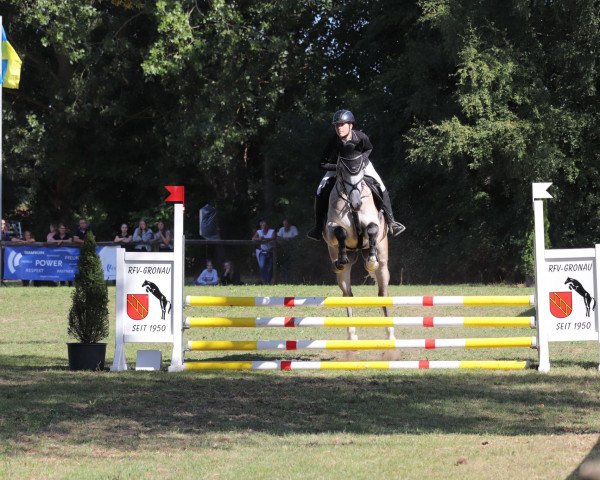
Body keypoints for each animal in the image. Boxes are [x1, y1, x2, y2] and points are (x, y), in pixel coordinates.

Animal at [322, 156, 396, 344]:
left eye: (361, 170)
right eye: (343, 172)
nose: (356, 203)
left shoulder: (374, 222)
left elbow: (371, 228)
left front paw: (371, 261)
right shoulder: (331, 228)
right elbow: (340, 232)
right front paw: (341, 258)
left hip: (383, 267)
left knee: (383, 294)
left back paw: (390, 334)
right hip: (342, 273)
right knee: (347, 294)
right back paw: (351, 334)